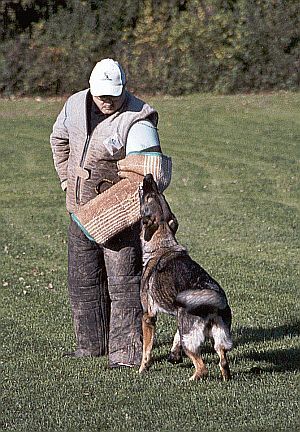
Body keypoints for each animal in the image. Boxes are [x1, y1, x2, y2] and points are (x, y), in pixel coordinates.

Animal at [139, 174, 233, 380]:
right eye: (159, 194)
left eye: (148, 197)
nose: (149, 176)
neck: (162, 244)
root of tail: (214, 301)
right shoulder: (179, 318)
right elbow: (175, 337)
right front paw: (174, 355)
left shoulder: (148, 316)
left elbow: (146, 350)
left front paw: (142, 369)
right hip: (216, 338)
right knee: (223, 361)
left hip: (191, 340)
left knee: (202, 368)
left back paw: (190, 380)